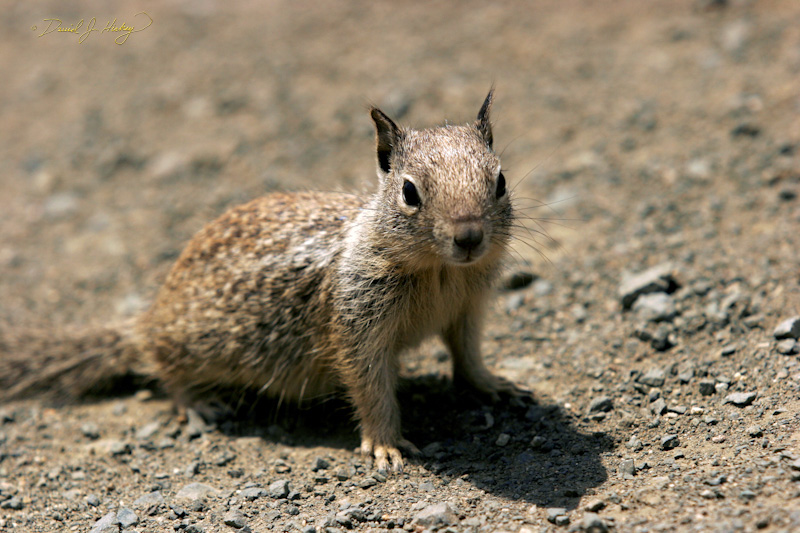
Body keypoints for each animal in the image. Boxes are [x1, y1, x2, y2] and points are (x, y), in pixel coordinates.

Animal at [0, 90, 527, 473]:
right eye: (410, 192)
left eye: (500, 181)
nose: (468, 237)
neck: (442, 273)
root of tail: (148, 320)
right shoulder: (357, 325)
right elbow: (371, 387)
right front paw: (385, 445)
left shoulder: (469, 309)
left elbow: (467, 353)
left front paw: (495, 384)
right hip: (193, 345)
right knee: (164, 368)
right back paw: (199, 405)